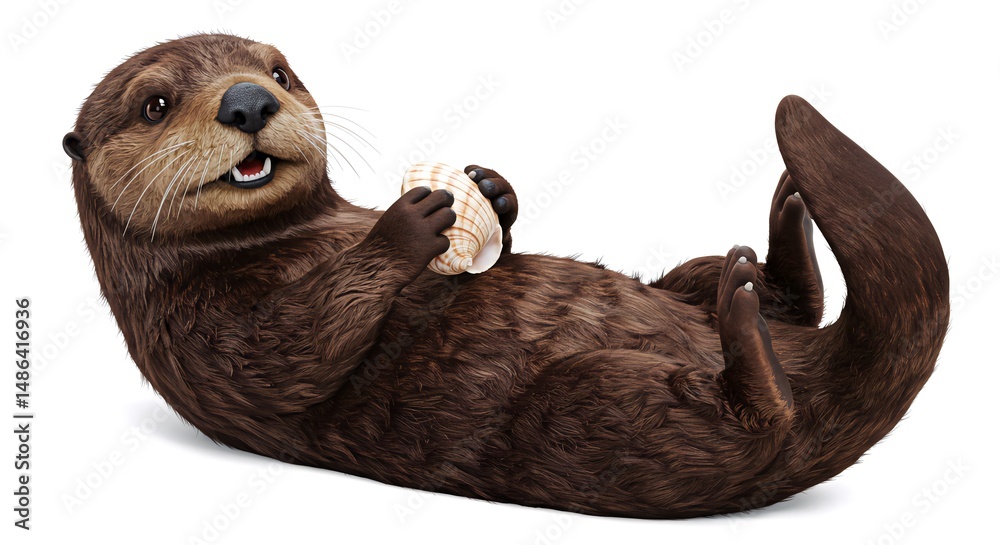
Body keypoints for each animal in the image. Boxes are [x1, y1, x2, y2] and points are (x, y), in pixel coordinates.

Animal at [63, 33, 948, 518]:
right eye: (155, 104)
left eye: (280, 72)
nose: (246, 99)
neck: (287, 234)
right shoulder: (192, 331)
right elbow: (285, 352)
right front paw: (410, 222)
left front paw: (490, 188)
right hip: (587, 412)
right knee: (743, 427)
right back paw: (746, 330)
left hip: (681, 298)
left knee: (761, 292)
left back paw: (775, 239)